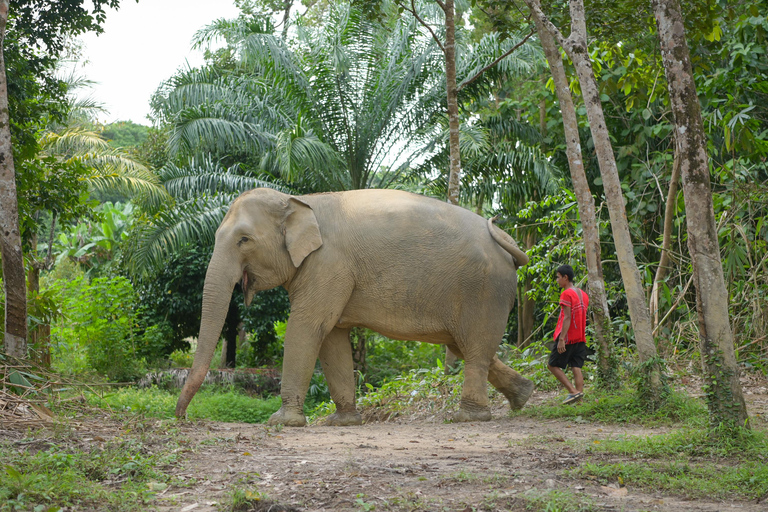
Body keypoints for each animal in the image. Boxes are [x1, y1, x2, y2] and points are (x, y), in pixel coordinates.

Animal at [174, 186, 536, 426]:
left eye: (244, 240)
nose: (182, 417)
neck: (298, 200)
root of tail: (507, 242)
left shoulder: (329, 265)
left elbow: (307, 327)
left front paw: (282, 422)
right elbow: (332, 338)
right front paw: (343, 422)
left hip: (484, 289)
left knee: (473, 349)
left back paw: (468, 417)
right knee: (466, 346)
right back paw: (523, 396)